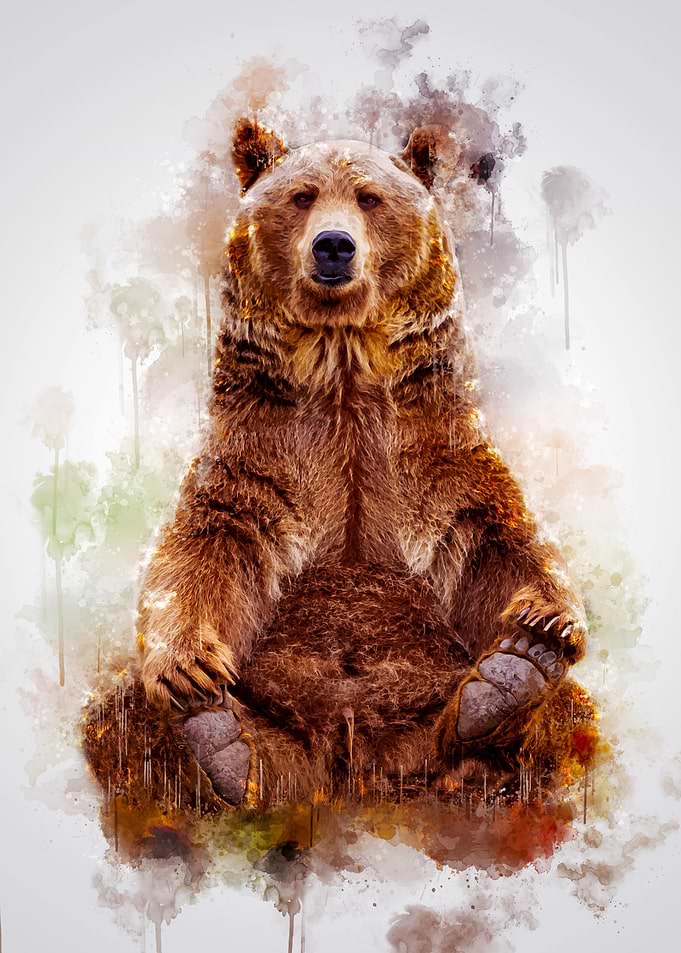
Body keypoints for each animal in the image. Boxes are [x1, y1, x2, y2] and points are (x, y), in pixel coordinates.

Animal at [83, 120, 593, 817]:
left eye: (370, 198)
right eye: (302, 196)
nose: (334, 246)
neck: (343, 365)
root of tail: (350, 769)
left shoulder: (432, 450)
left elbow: (495, 537)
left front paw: (547, 622)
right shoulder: (261, 455)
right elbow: (206, 548)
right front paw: (188, 669)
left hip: (425, 710)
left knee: (567, 711)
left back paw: (503, 692)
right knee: (119, 713)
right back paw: (221, 748)